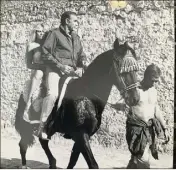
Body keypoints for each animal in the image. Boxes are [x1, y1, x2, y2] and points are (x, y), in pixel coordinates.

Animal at [15, 40, 140, 169]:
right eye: (122, 69)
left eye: (135, 70)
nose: (135, 99)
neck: (87, 97)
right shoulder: (81, 134)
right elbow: (93, 164)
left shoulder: (82, 136)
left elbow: (73, 161)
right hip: (27, 126)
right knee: (23, 145)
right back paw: (25, 165)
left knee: (42, 142)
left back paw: (52, 163)